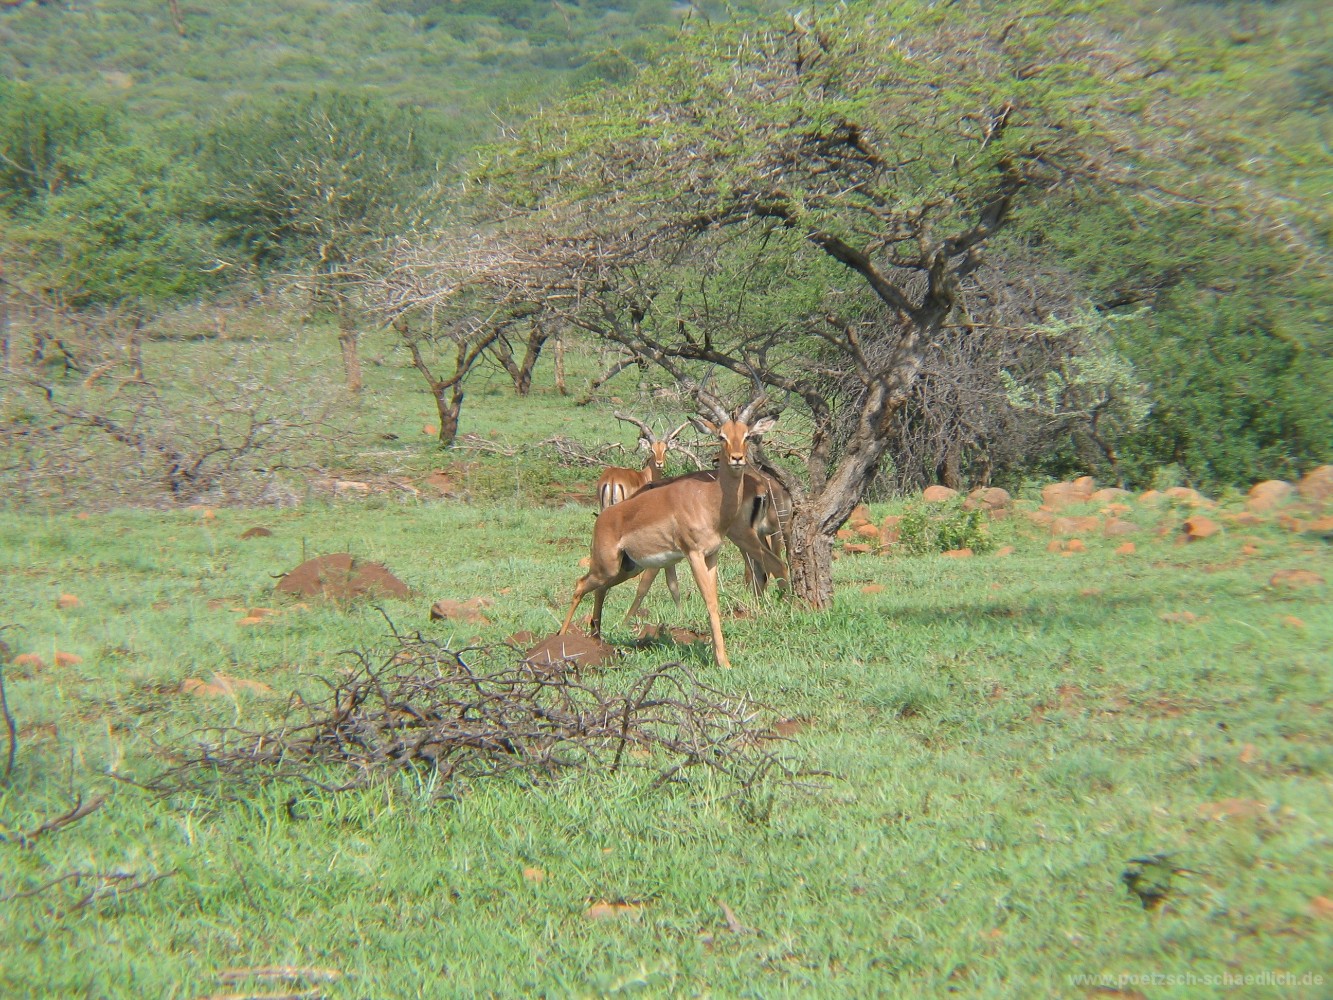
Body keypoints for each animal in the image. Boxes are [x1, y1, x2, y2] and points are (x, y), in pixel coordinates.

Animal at [560, 397, 787, 669]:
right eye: (721, 435)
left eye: (747, 435)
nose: (737, 458)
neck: (709, 499)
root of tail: (604, 517)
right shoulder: (693, 554)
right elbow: (706, 600)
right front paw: (723, 661)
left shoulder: (711, 555)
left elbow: (711, 600)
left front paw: (721, 659)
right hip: (609, 566)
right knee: (581, 584)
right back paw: (563, 637)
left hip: (626, 568)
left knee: (598, 588)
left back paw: (595, 637)